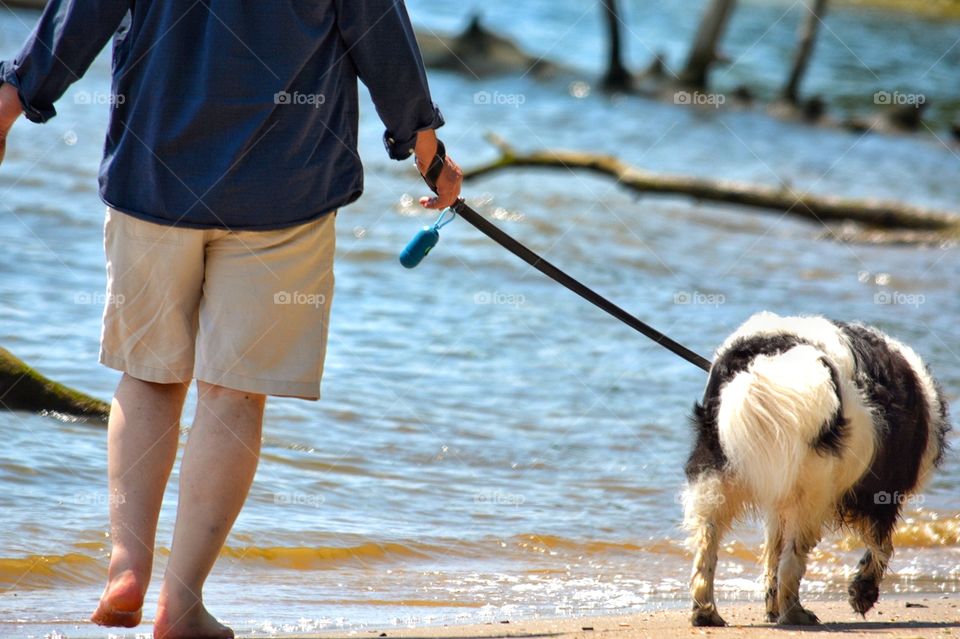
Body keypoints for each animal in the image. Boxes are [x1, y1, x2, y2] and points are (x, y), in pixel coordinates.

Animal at [688, 312, 948, 628]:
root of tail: (768, 359)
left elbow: (772, 553)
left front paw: (771, 606)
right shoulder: (881, 495)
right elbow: (883, 546)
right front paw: (863, 591)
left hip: (716, 476)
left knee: (707, 542)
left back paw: (706, 611)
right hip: (812, 491)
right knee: (793, 561)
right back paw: (795, 612)